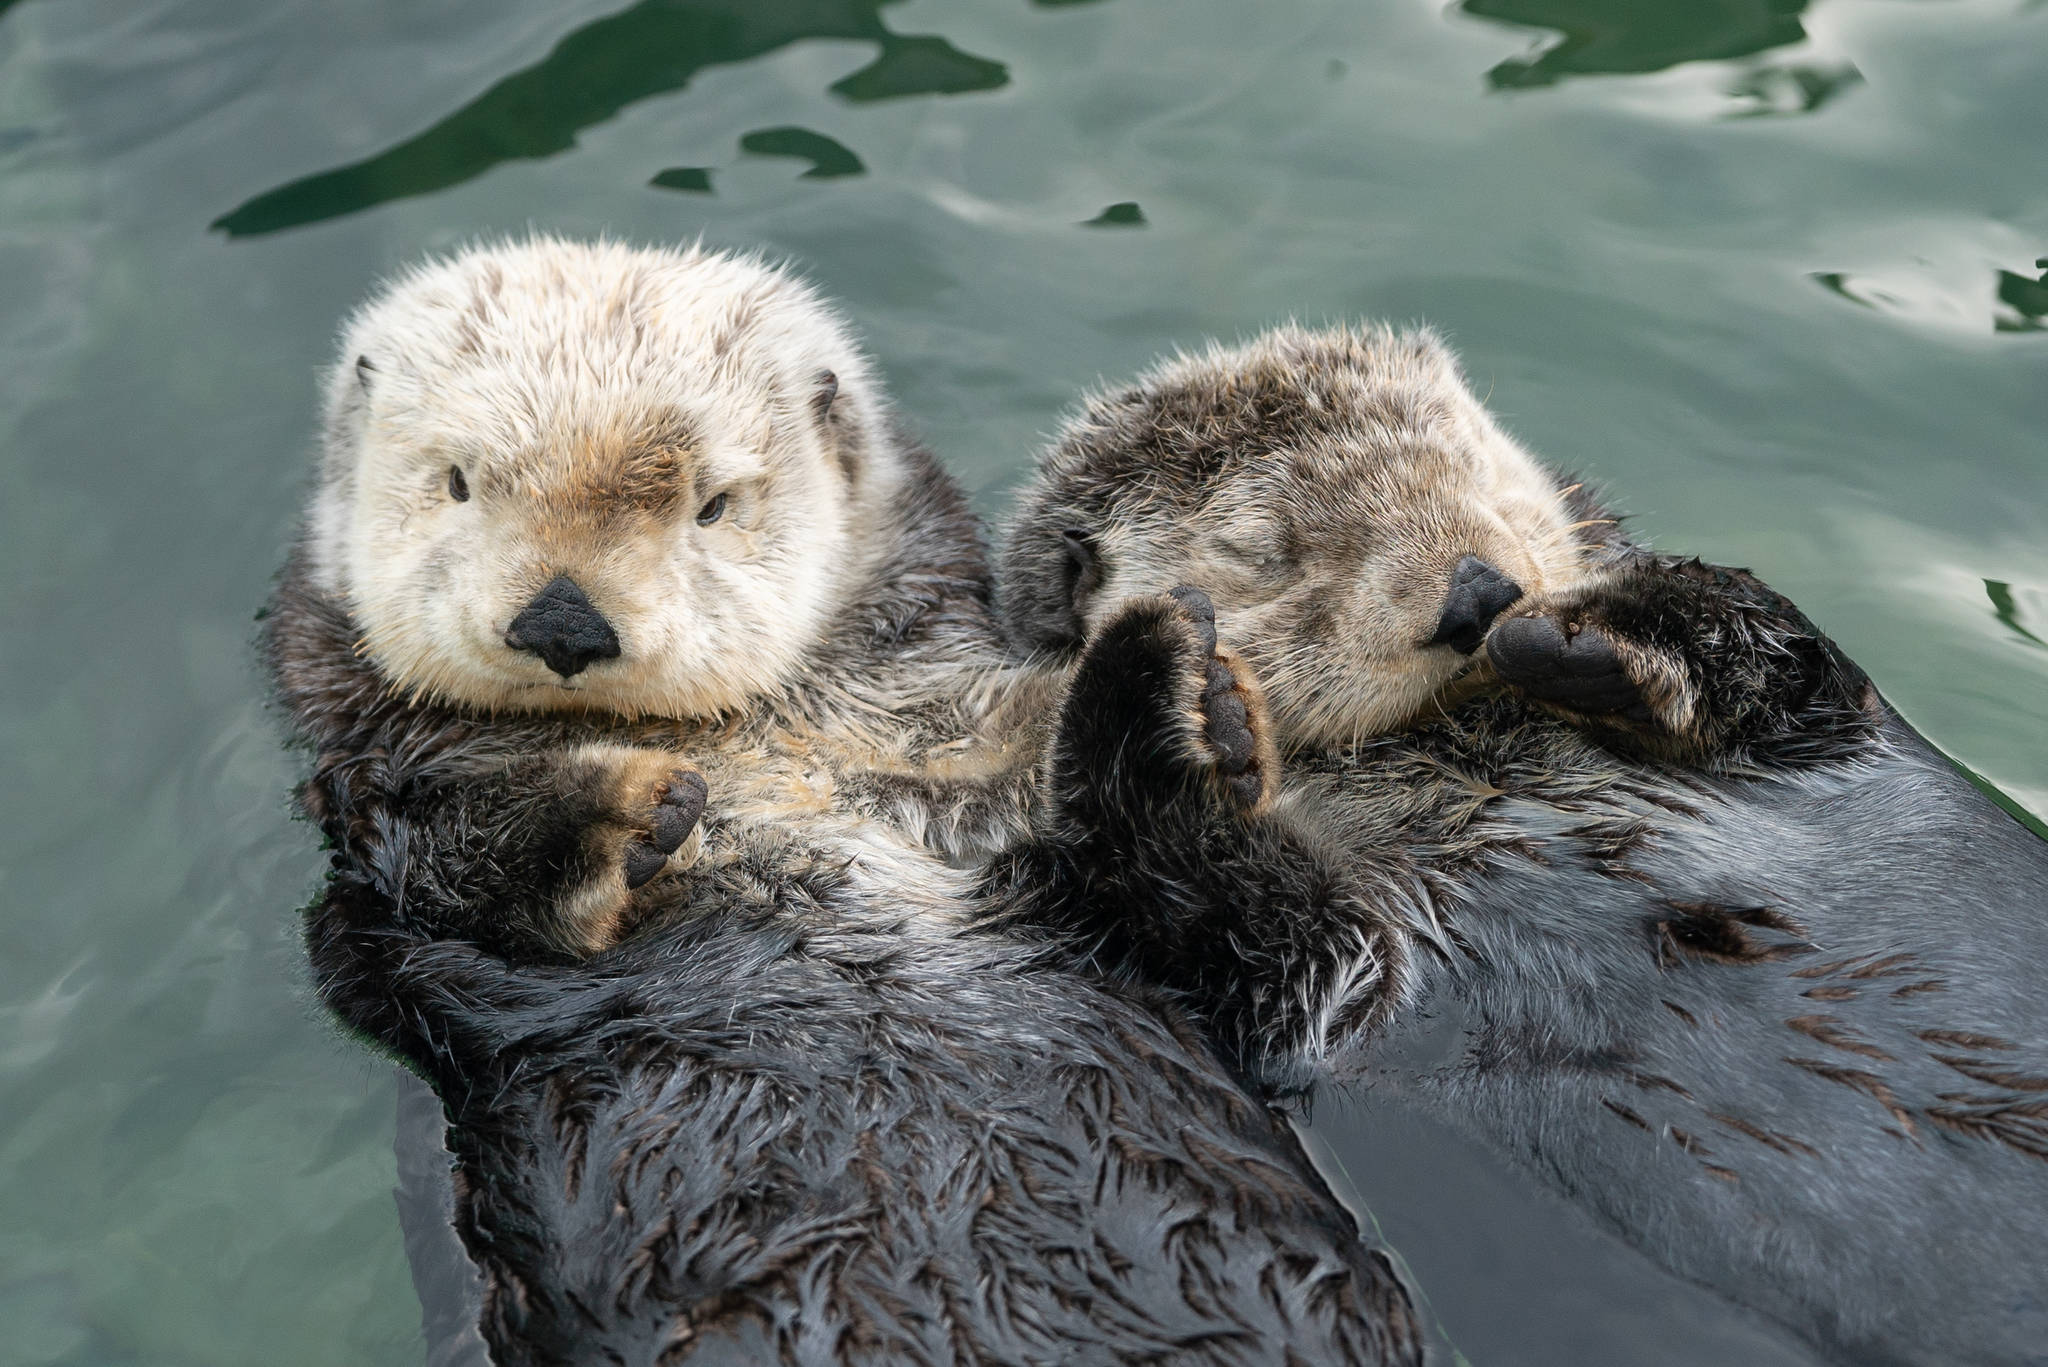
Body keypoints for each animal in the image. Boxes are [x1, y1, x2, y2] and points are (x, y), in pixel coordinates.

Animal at [268, 245, 1425, 1367]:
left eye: (713, 504)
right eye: (458, 483)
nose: (562, 620)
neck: (772, 751)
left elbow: (1325, 971)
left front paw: (1201, 723)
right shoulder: (377, 858)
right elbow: (434, 868)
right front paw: (621, 805)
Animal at [999, 323, 2048, 1367]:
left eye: (1468, 464)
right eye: (1267, 552)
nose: (1476, 593)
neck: (1476, 754)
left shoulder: (1824, 732)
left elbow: (1788, 657)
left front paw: (1578, 632)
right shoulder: (1329, 983)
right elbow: (1269, 948)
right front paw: (1169, 693)